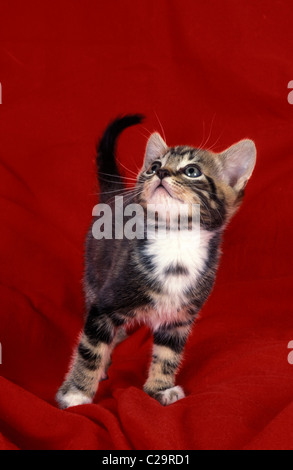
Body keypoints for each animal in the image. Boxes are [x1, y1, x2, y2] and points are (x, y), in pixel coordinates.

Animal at [55, 114, 256, 408]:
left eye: (192, 171)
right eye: (153, 166)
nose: (161, 173)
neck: (175, 242)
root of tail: (115, 197)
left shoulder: (180, 319)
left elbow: (168, 355)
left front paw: (160, 388)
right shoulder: (104, 305)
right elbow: (91, 348)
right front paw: (77, 393)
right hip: (94, 277)